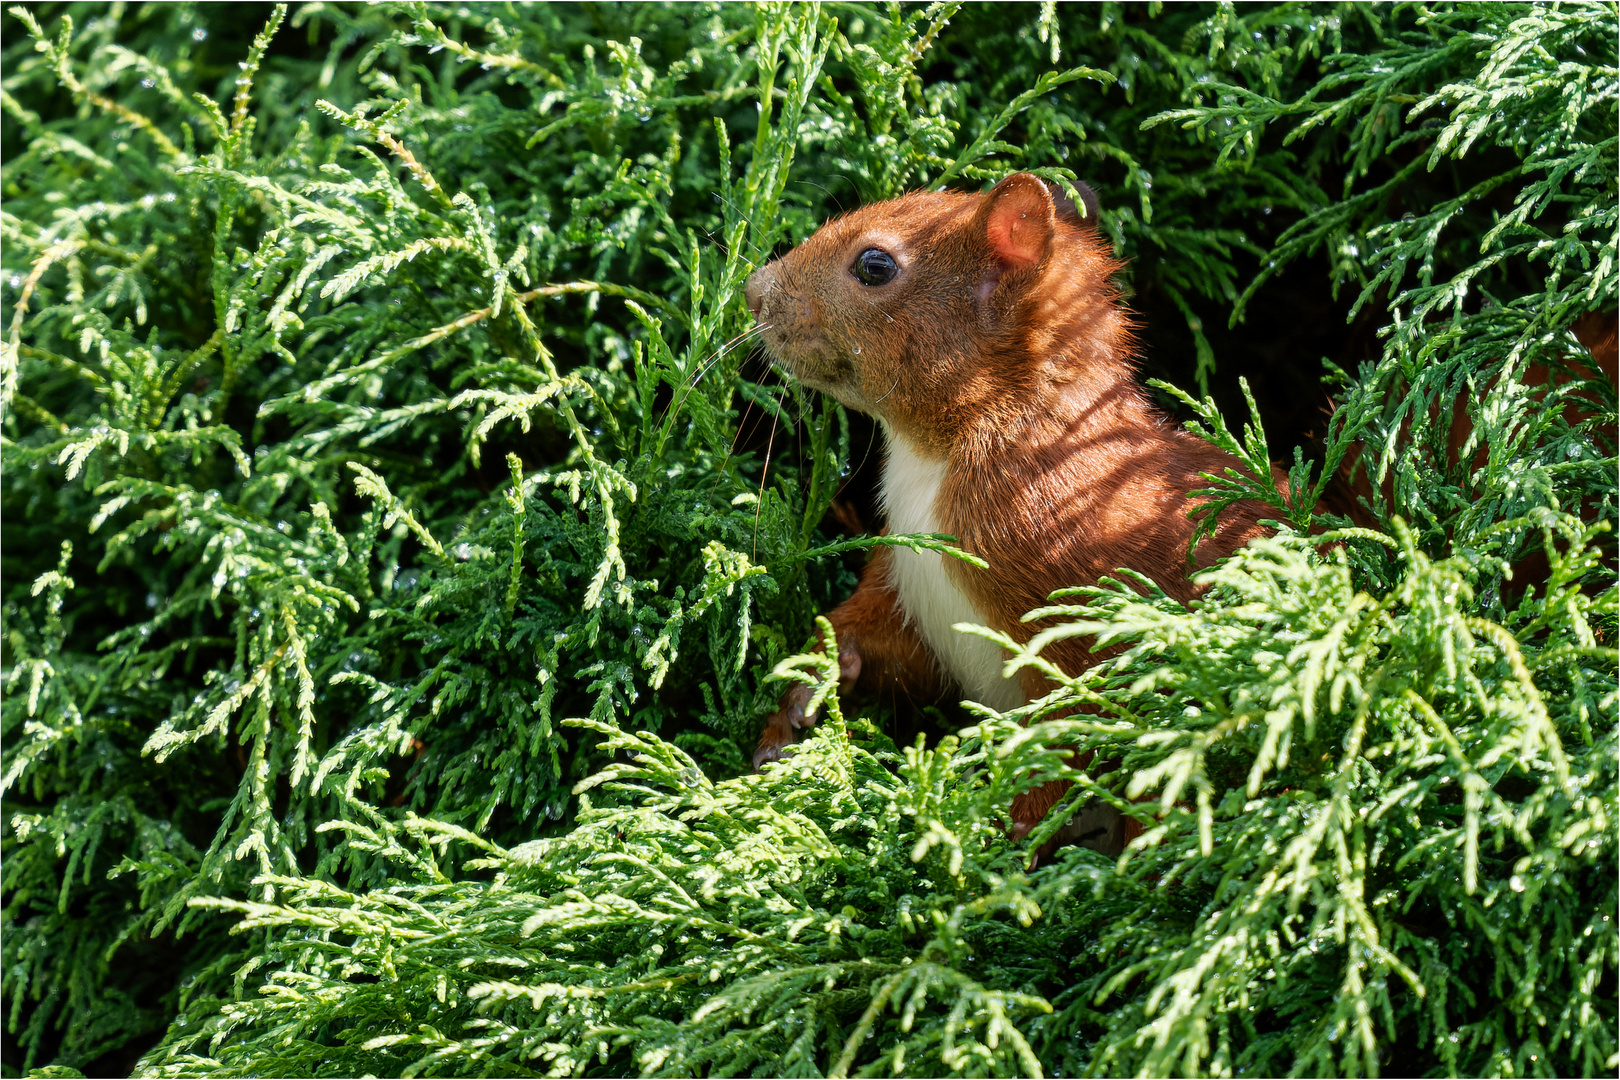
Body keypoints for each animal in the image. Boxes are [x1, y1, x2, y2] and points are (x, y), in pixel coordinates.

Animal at [741, 175, 1283, 854]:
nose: (753, 292)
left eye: (874, 265)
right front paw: (803, 691)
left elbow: (1068, 726)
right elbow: (874, 637)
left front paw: (1008, 826)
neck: (936, 459)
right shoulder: (909, 586)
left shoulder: (1078, 609)